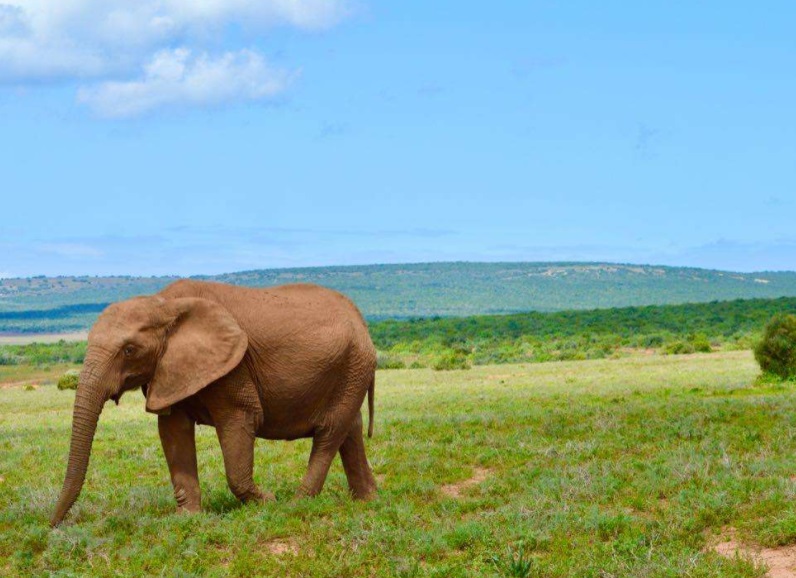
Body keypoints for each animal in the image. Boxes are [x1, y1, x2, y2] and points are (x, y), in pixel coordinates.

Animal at [50, 280, 380, 528]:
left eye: (129, 350)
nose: (52, 525)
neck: (163, 303)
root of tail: (362, 320)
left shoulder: (234, 367)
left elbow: (241, 419)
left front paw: (268, 502)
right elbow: (172, 430)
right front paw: (187, 519)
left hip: (354, 365)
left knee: (329, 433)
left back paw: (298, 504)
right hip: (351, 370)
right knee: (349, 430)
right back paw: (367, 500)